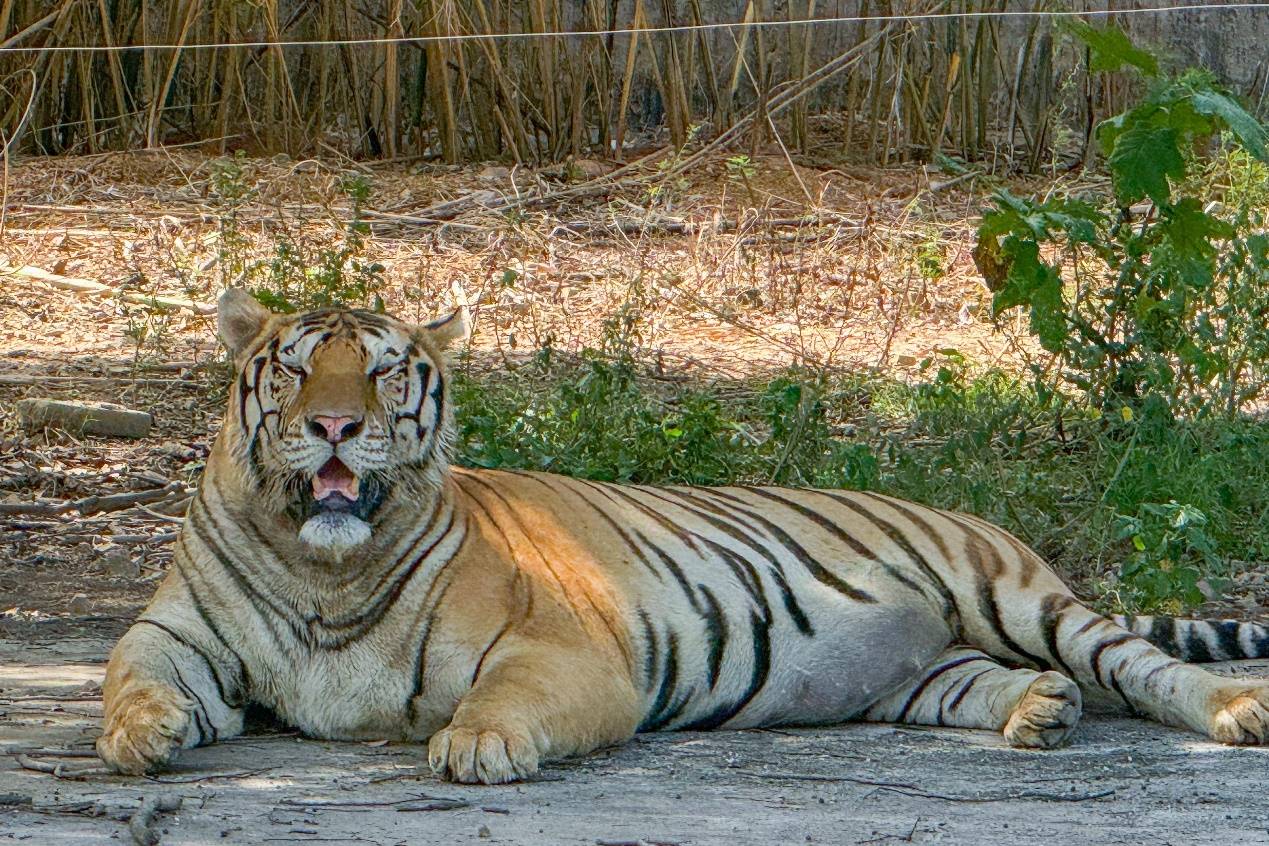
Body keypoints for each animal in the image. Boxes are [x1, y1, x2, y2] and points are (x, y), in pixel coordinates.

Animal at [93, 287, 1269, 786]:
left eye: (382, 371)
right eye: (296, 369)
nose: (334, 425)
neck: (324, 567)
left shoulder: (564, 650)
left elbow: (500, 696)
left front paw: (477, 745)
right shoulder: (177, 631)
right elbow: (130, 674)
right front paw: (141, 735)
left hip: (1018, 596)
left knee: (1145, 665)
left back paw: (1232, 711)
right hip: (920, 673)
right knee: (985, 685)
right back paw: (1040, 713)